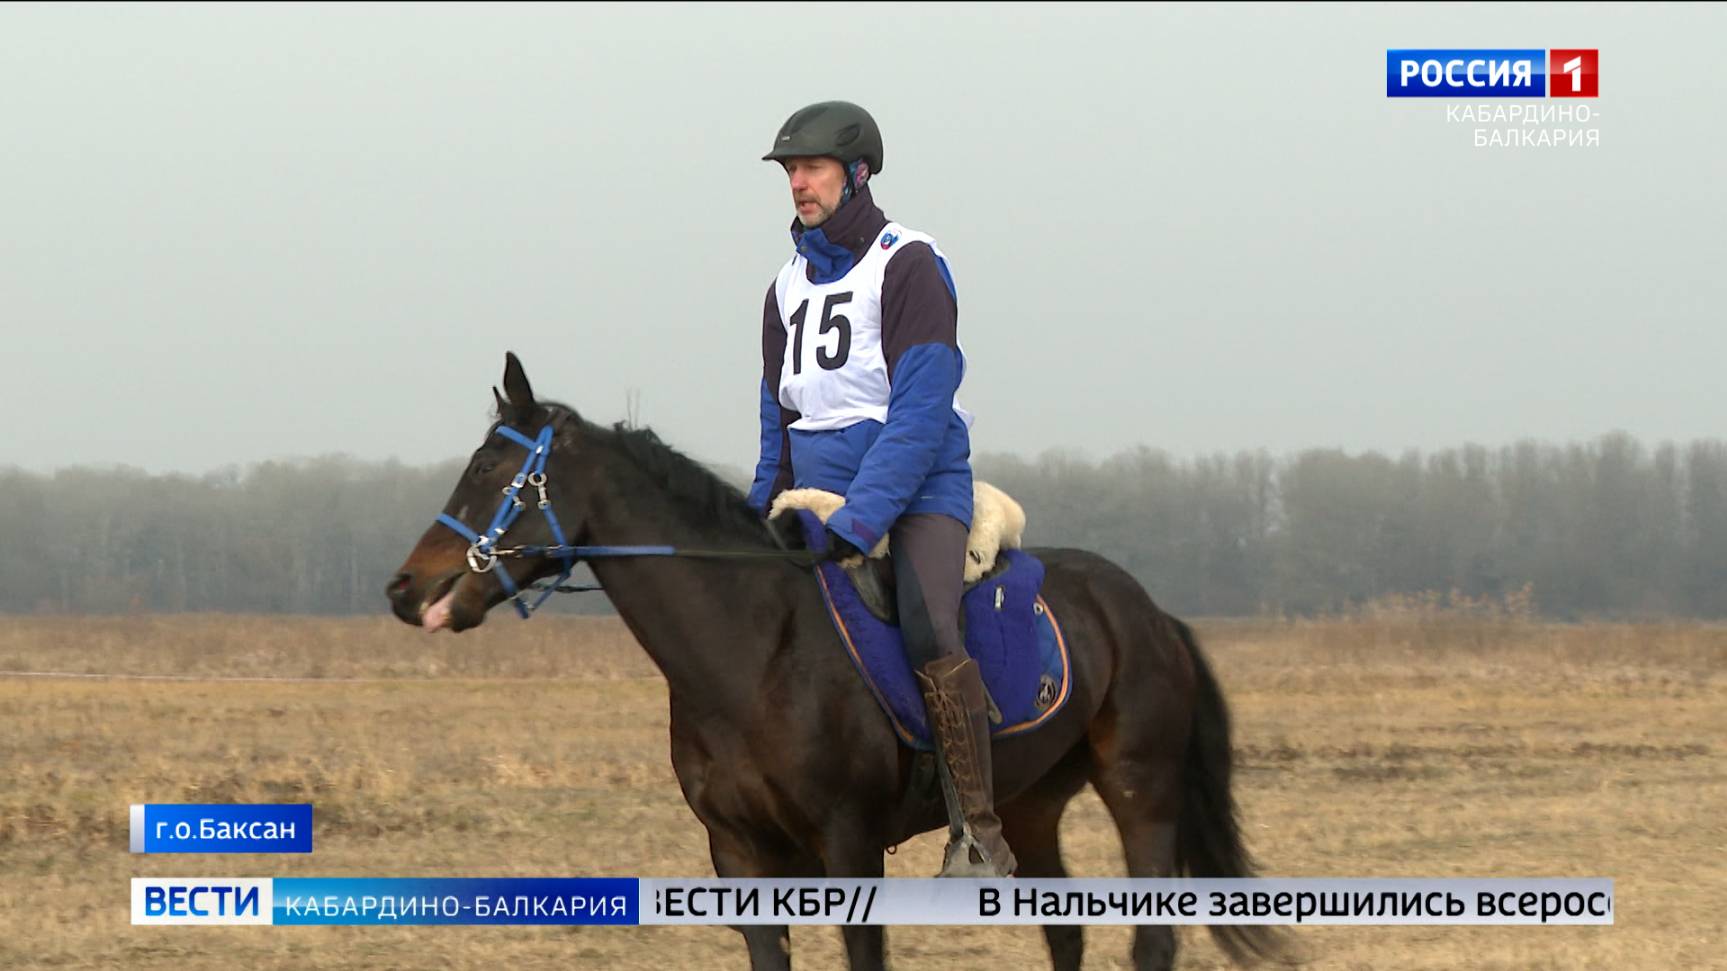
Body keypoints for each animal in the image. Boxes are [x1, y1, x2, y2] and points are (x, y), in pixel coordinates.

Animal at [388, 350, 1284, 960]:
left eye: (488, 468)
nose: (405, 588)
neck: (752, 651)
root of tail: (1149, 611)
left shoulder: (848, 849)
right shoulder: (739, 855)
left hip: (1142, 792)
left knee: (1151, 933)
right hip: (1031, 805)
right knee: (1063, 931)